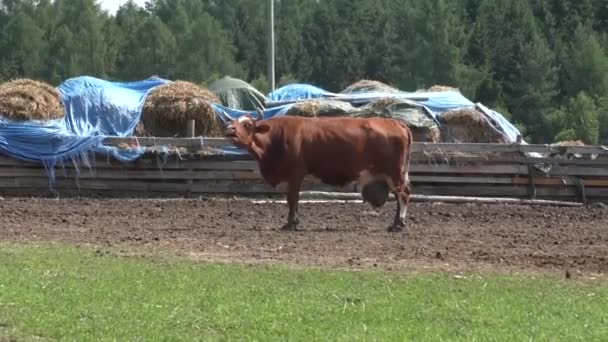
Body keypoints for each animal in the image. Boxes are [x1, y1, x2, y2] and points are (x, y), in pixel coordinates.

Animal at [226, 113, 416, 231]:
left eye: (248, 124)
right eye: (233, 123)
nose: (230, 130)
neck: (276, 137)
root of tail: (396, 123)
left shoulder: (296, 174)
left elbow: (292, 199)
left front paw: (291, 224)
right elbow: (293, 200)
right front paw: (293, 222)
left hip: (394, 173)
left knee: (403, 195)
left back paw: (399, 224)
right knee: (399, 197)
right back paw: (396, 224)